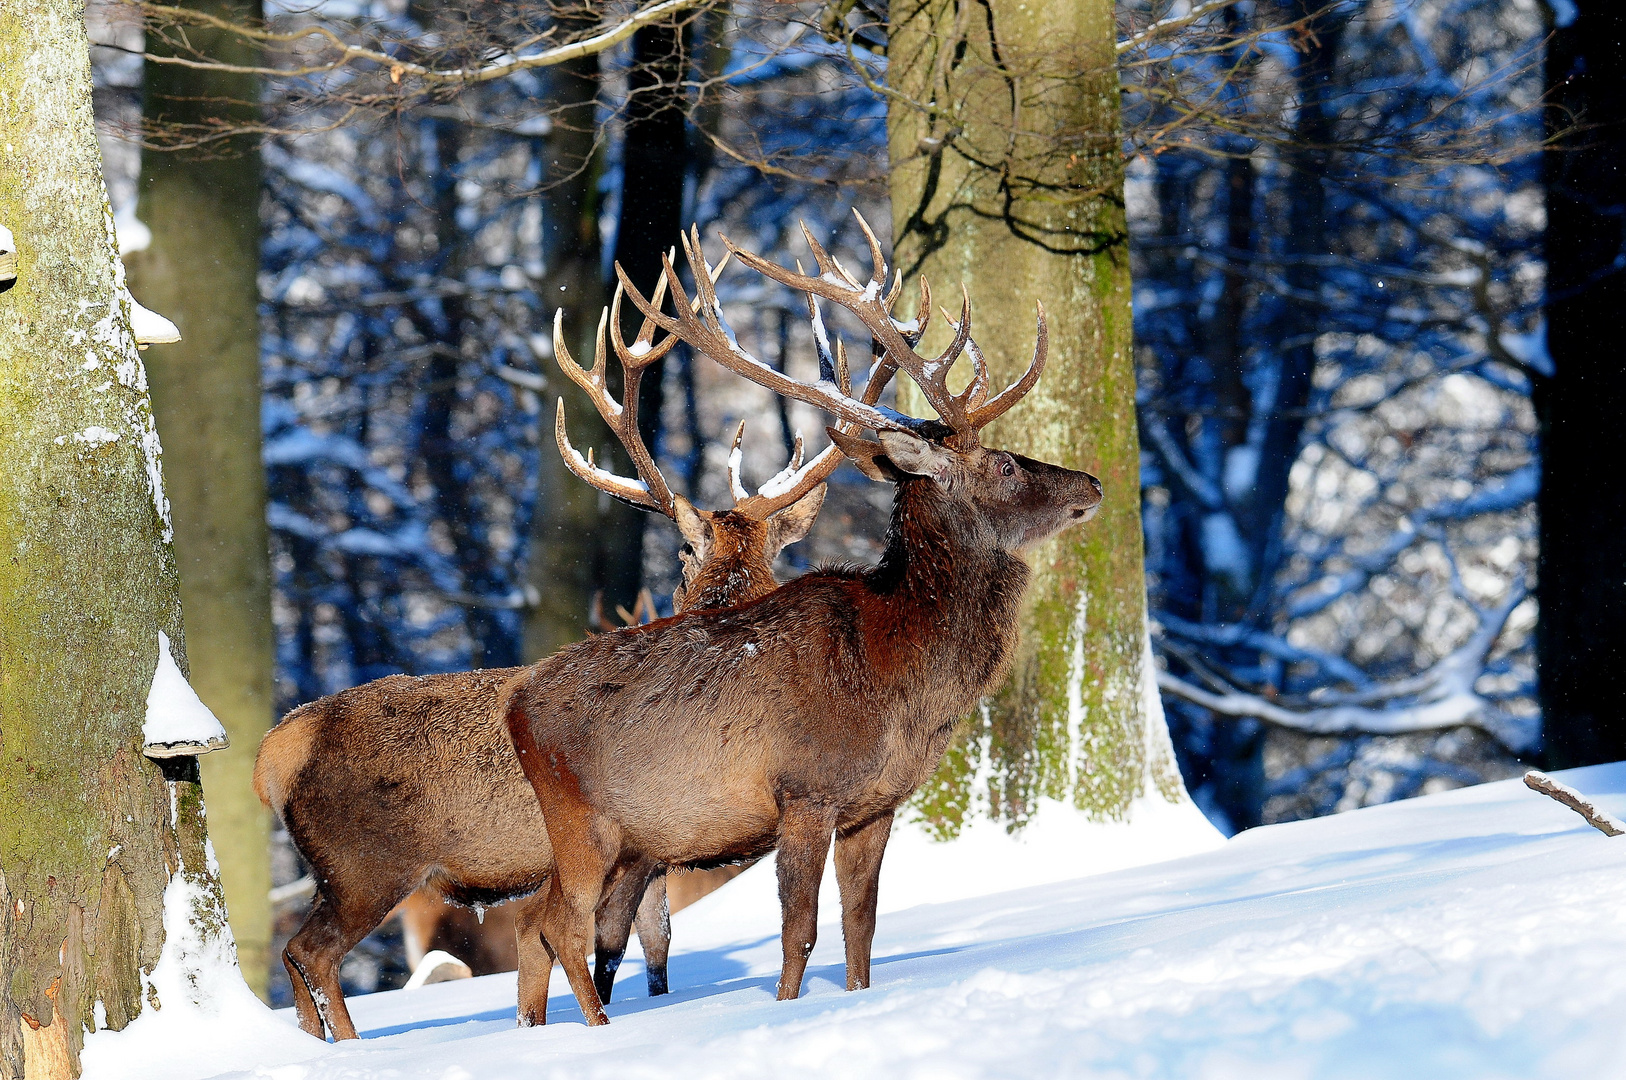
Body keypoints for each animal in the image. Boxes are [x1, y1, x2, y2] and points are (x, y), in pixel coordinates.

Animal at [252, 253, 904, 1040]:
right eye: (684, 551)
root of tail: (276, 749)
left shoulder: (651, 859)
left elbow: (637, 956)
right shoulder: (645, 852)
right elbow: (606, 949)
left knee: (298, 959)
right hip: (366, 861)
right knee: (311, 953)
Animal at [497, 213, 1105, 1027]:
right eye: (1006, 464)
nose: (1092, 482)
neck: (899, 676)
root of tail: (515, 705)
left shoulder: (876, 804)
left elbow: (861, 925)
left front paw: (855, 997)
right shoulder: (804, 791)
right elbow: (800, 931)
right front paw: (788, 1011)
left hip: (629, 841)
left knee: (541, 924)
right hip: (578, 819)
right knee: (560, 923)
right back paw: (596, 1031)